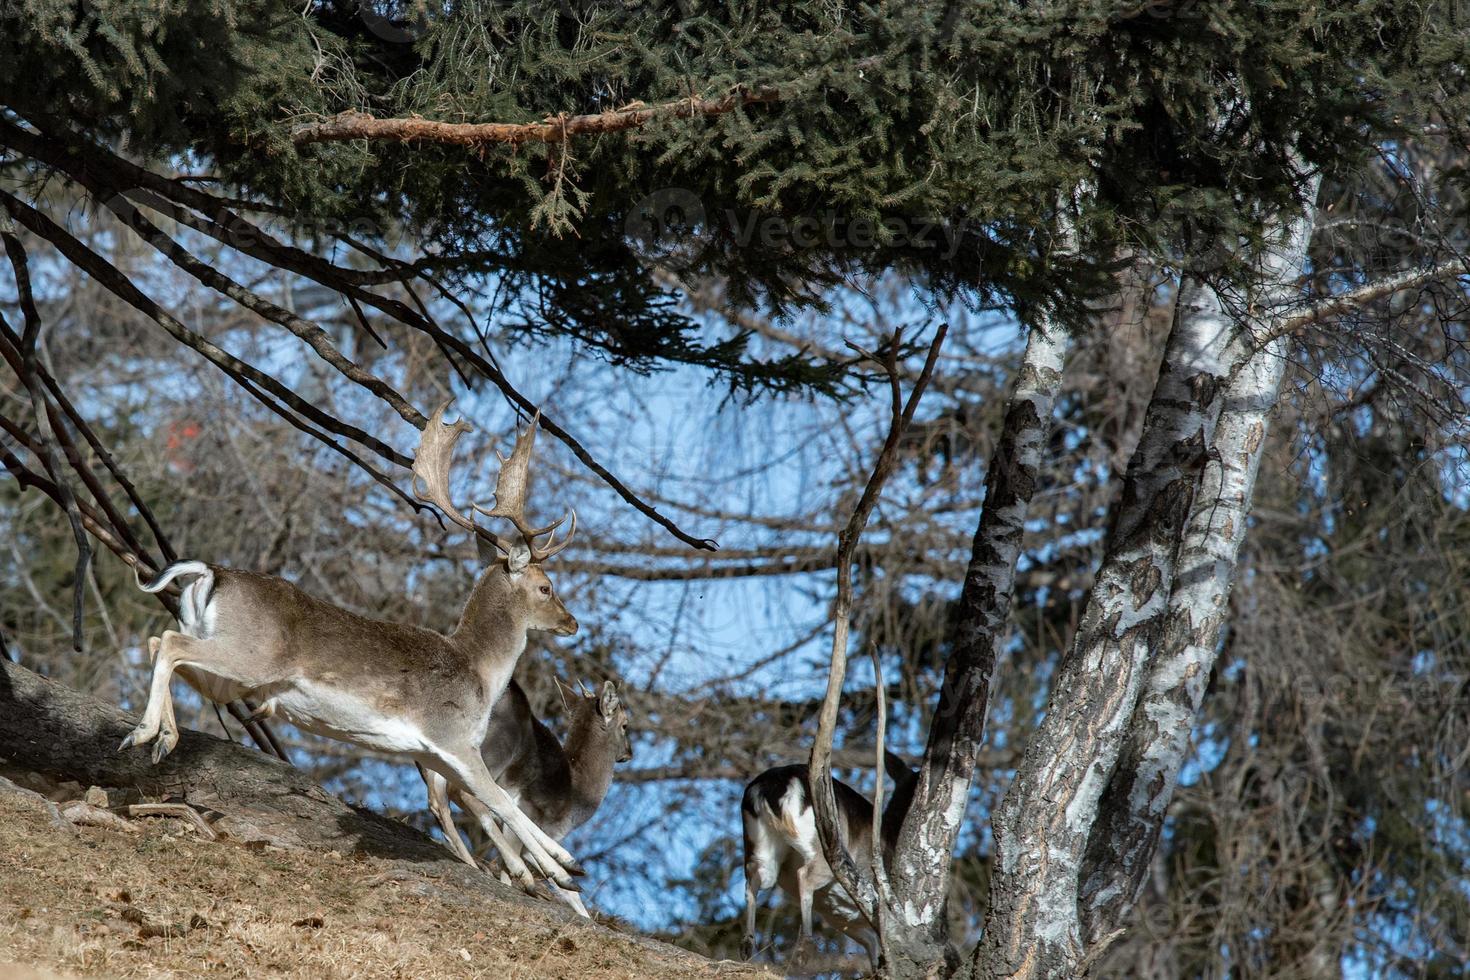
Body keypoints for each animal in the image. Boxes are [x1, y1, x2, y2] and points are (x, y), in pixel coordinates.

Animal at [124, 402, 585, 893]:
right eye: (546, 587)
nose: (572, 622)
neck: (480, 674)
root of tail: (211, 573)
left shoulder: (432, 753)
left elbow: (502, 805)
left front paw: (565, 862)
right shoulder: (451, 738)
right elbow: (500, 803)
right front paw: (558, 872)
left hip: (229, 673)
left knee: (159, 640)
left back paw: (163, 739)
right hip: (249, 657)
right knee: (169, 643)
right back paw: (145, 733)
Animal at [423, 678, 635, 916]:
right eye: (625, 724)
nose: (629, 753)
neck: (575, 797)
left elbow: (568, 894)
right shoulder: (531, 810)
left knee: (437, 798)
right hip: (491, 751)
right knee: (467, 793)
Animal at [746, 752, 917, 963]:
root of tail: (772, 785)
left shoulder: (841, 918)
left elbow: (872, 949)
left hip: (760, 844)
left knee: (754, 877)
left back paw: (747, 946)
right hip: (823, 845)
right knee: (804, 874)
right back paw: (805, 947)